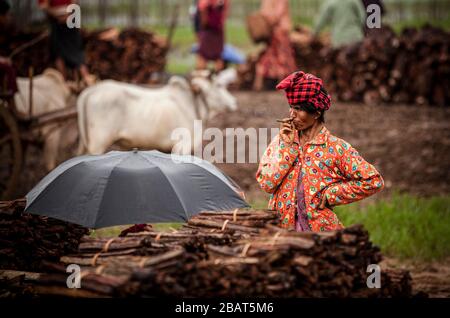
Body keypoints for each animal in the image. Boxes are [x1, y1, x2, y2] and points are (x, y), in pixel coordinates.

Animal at [77, 70, 237, 155]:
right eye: (219, 85)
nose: (234, 102)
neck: (192, 104)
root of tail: (91, 90)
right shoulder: (182, 145)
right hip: (98, 145)